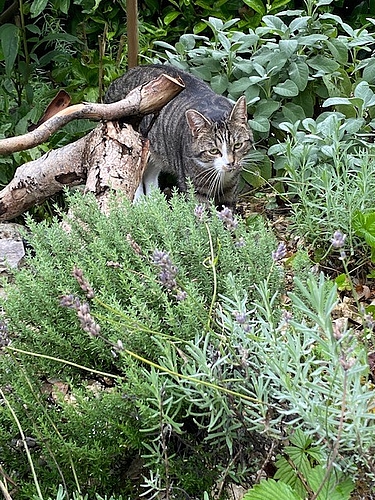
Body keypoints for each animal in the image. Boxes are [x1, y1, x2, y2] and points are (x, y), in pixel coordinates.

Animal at [104, 63, 254, 208]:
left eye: (238, 145)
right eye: (213, 151)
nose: (230, 163)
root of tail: (117, 80)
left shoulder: (231, 187)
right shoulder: (194, 188)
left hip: (158, 151)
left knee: (149, 176)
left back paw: (157, 205)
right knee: (136, 178)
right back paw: (141, 205)